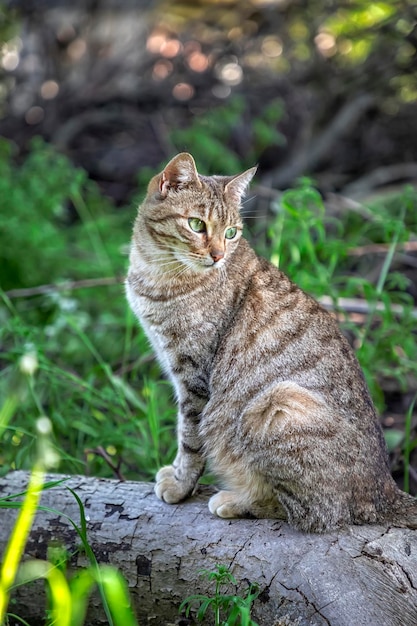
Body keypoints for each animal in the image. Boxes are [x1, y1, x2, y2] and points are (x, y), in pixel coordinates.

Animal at [126, 152, 416, 532]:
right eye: (197, 225)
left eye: (230, 233)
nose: (218, 255)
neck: (155, 271)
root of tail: (386, 491)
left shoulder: (194, 379)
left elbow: (189, 439)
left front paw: (180, 484)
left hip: (277, 403)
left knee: (312, 513)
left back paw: (237, 501)